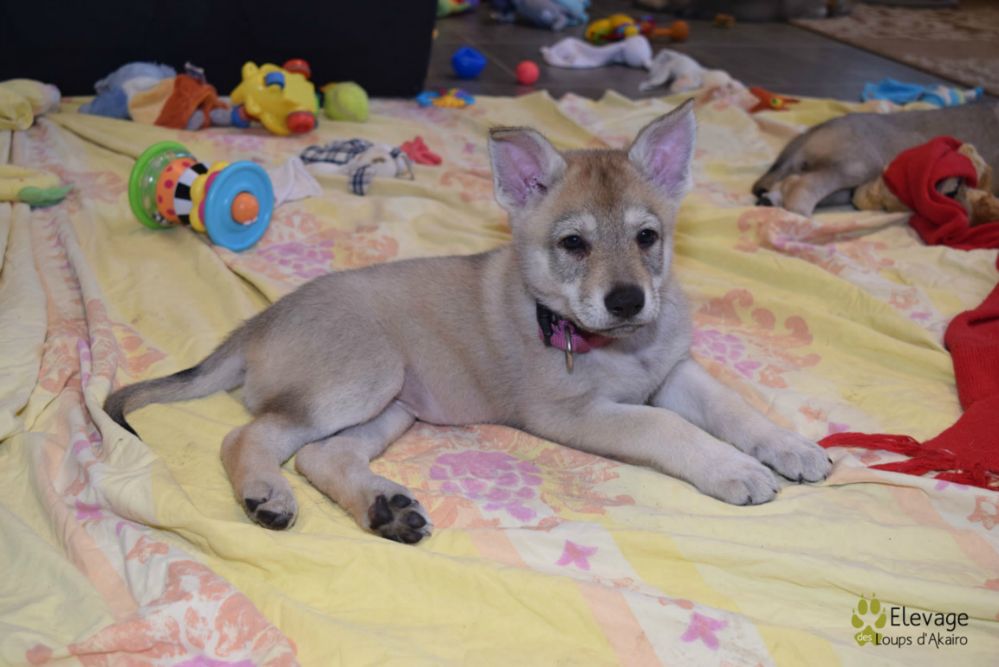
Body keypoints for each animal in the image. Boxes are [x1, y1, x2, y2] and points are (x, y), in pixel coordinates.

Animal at [105, 101, 831, 544]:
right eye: (573, 245)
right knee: (247, 437)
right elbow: (669, 428)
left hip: (394, 406)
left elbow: (732, 406)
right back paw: (266, 494)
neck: (618, 348)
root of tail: (257, 324)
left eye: (647, 236)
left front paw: (788, 446)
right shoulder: (575, 414)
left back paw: (384, 509)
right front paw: (732, 468)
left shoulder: (673, 373)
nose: (628, 301)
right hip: (362, 377)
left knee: (318, 454)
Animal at [752, 101, 999, 217]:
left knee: (789, 182)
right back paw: (798, 213)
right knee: (803, 183)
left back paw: (771, 201)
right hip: (860, 164)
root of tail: (811, 131)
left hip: (844, 187)